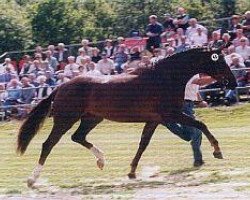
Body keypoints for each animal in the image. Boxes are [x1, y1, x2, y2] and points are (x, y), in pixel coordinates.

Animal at [16, 47, 235, 187]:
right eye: (220, 61)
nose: (232, 82)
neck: (165, 78)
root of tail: (61, 86)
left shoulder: (155, 120)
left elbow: (143, 144)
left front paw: (131, 172)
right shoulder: (170, 114)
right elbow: (200, 124)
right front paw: (217, 151)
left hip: (91, 118)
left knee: (77, 137)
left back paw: (101, 160)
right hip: (65, 119)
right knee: (48, 144)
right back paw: (32, 180)